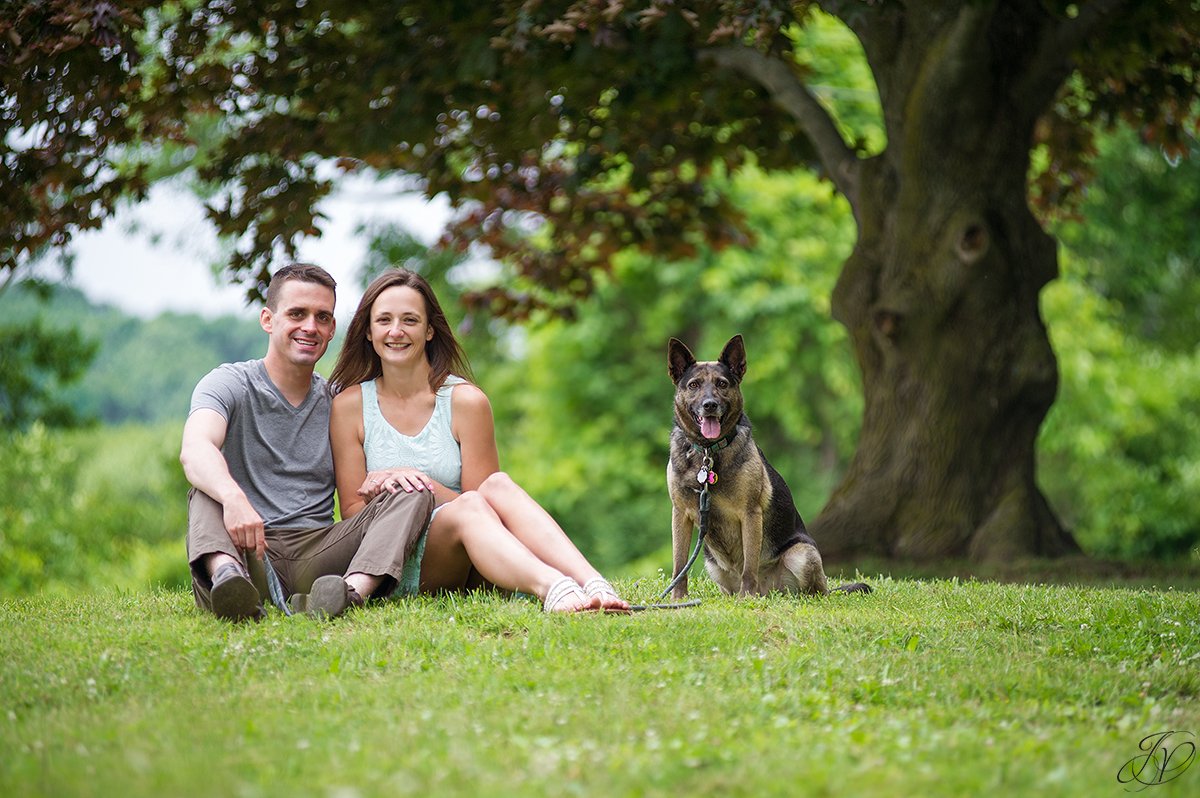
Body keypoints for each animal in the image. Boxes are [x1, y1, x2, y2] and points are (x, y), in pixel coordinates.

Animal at [667, 333, 864, 597]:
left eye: (722, 384)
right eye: (693, 385)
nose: (710, 405)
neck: (708, 452)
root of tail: (768, 591)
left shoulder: (750, 513)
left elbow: (749, 564)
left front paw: (746, 599)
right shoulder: (681, 514)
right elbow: (680, 565)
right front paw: (678, 599)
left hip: (801, 555)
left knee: (813, 591)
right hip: (713, 565)